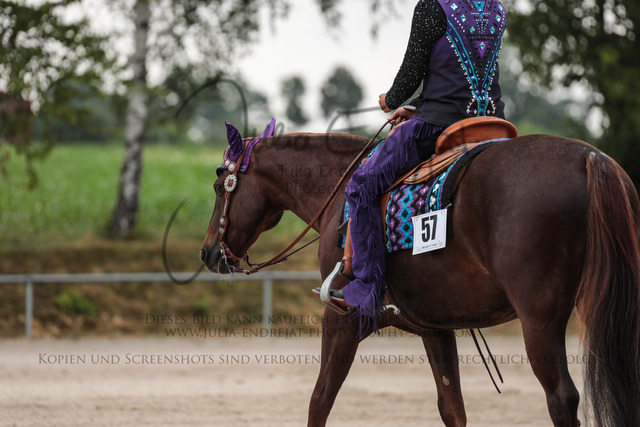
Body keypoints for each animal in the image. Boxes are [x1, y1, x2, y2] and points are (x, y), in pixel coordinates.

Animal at [199, 123, 640, 427]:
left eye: (221, 186)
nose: (207, 253)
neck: (339, 194)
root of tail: (592, 160)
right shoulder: (436, 327)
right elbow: (452, 407)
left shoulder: (341, 319)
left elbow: (320, 400)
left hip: (540, 321)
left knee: (561, 399)